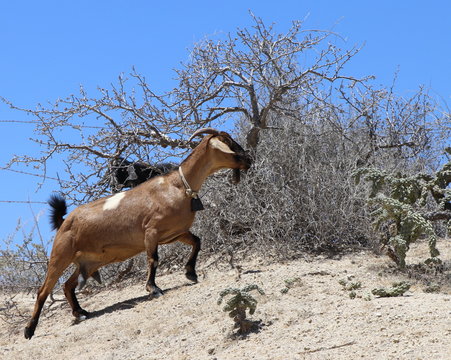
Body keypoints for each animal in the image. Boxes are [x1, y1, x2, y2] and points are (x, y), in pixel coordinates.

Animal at [23, 129, 252, 340]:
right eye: (229, 143)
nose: (248, 159)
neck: (179, 185)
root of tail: (64, 221)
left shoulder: (175, 233)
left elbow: (197, 241)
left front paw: (191, 273)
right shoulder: (151, 231)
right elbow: (153, 259)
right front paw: (154, 288)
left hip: (90, 261)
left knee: (67, 285)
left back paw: (80, 312)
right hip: (61, 254)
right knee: (43, 290)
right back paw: (29, 329)